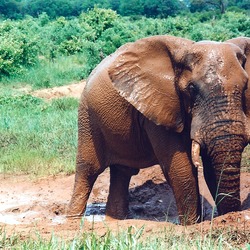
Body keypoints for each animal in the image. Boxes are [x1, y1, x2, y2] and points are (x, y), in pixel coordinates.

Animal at [66, 34, 250, 225]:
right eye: (192, 88)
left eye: (245, 86)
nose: (230, 216)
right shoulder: (158, 104)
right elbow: (181, 167)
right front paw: (190, 225)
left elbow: (210, 167)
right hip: (87, 116)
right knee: (88, 169)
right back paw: (72, 222)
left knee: (122, 172)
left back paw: (116, 220)